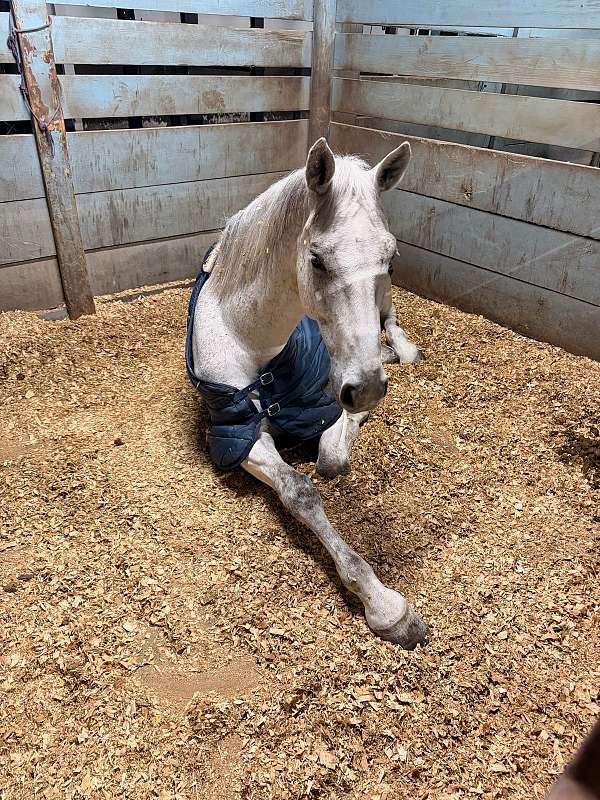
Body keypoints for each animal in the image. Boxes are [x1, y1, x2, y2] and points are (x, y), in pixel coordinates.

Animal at [186, 137, 428, 650]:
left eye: (390, 257)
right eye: (316, 259)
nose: (368, 389)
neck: (250, 338)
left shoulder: (324, 399)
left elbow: (332, 456)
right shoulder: (238, 433)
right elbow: (301, 490)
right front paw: (386, 606)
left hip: (386, 309)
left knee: (393, 329)